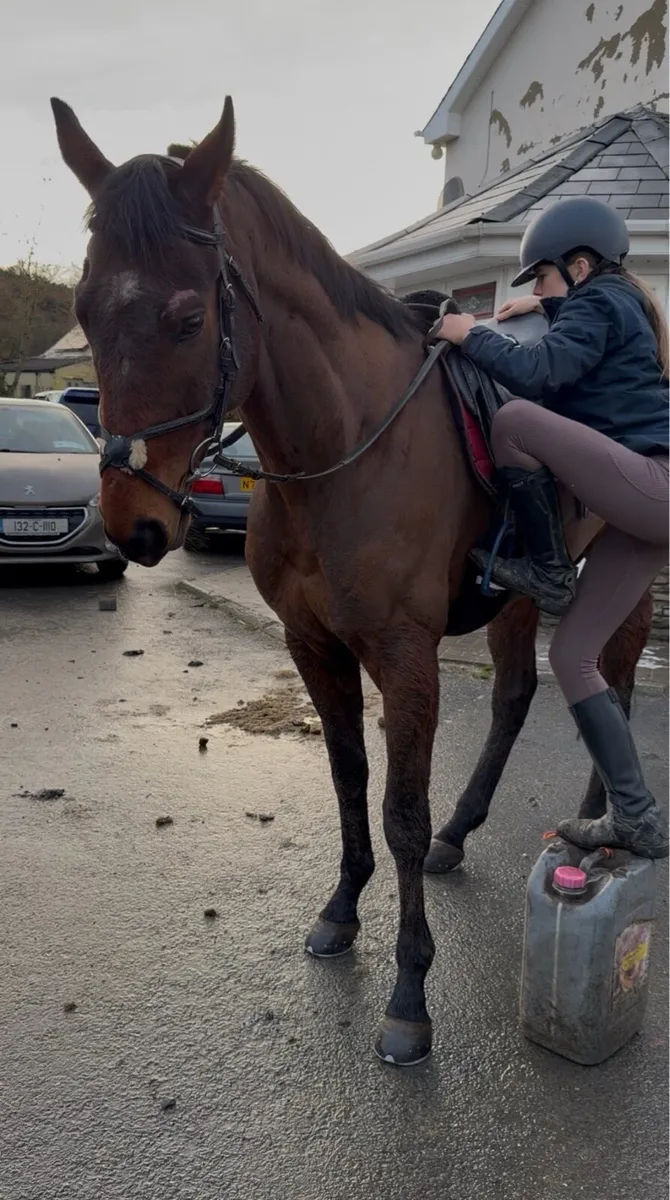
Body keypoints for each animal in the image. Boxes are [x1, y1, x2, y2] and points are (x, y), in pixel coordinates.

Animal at [51, 96, 653, 1065]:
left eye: (188, 318)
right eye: (84, 309)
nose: (133, 522)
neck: (340, 452)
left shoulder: (404, 658)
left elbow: (399, 806)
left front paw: (410, 993)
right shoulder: (314, 647)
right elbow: (346, 778)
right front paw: (340, 911)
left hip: (624, 582)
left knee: (615, 686)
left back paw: (602, 831)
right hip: (522, 596)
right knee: (519, 695)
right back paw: (464, 832)